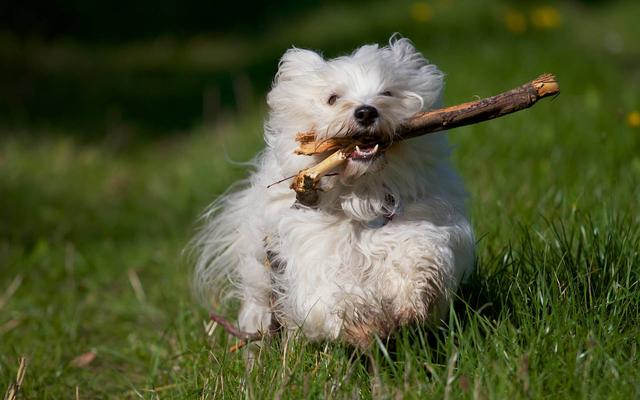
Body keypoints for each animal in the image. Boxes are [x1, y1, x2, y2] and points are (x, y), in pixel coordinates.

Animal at [195, 38, 476, 350]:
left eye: (387, 92)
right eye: (332, 98)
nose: (366, 111)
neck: (364, 195)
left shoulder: (422, 220)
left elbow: (419, 255)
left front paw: (411, 299)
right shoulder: (313, 253)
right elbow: (331, 292)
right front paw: (362, 319)